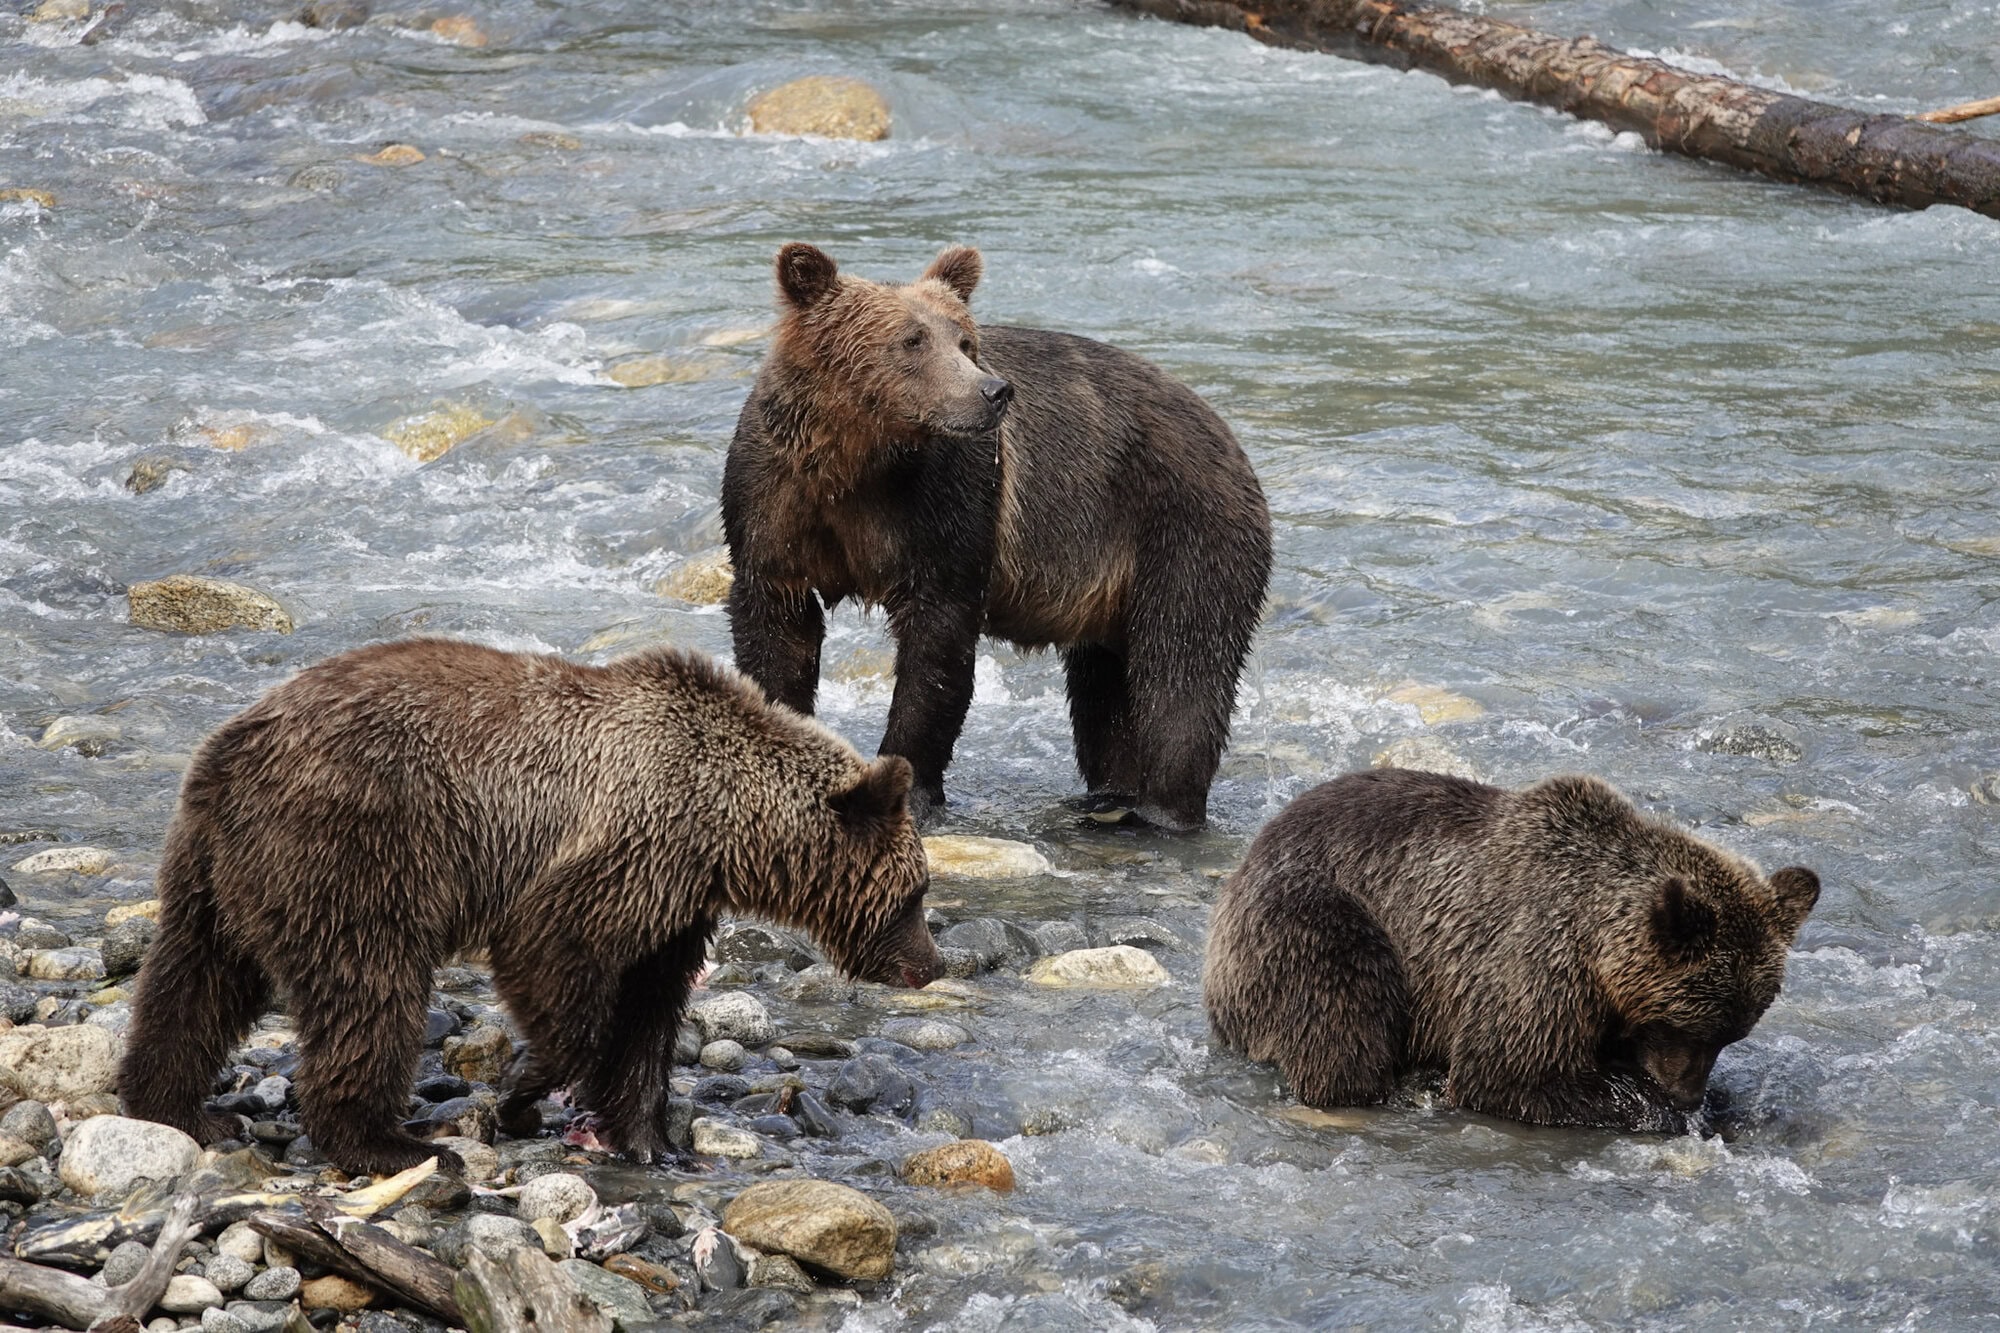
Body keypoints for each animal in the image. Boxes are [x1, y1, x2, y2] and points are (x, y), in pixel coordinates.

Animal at [119, 638, 940, 1176]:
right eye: (917, 893)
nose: (932, 964)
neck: (729, 829)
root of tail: (231, 750)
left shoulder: (675, 901)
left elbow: (649, 1010)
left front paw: (650, 1139)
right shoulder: (630, 843)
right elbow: (552, 950)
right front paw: (524, 1092)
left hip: (219, 871)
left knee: (193, 982)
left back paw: (180, 1107)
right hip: (355, 845)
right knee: (369, 987)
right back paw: (391, 1142)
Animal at [721, 242, 1272, 831]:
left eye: (965, 340)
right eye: (911, 340)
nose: (993, 391)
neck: (856, 461)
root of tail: (1227, 433)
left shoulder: (948, 503)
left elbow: (938, 646)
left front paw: (913, 788)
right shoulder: (775, 501)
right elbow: (777, 635)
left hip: (1183, 526)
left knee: (1181, 670)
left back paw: (1160, 812)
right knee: (1105, 692)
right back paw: (1106, 796)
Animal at [1203, 767, 1820, 1132]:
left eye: (1733, 1033)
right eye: (1687, 1024)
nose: (1688, 1093)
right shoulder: (1535, 958)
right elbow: (1509, 1073)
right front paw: (1652, 1104)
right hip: (1320, 918)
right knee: (1344, 1014)